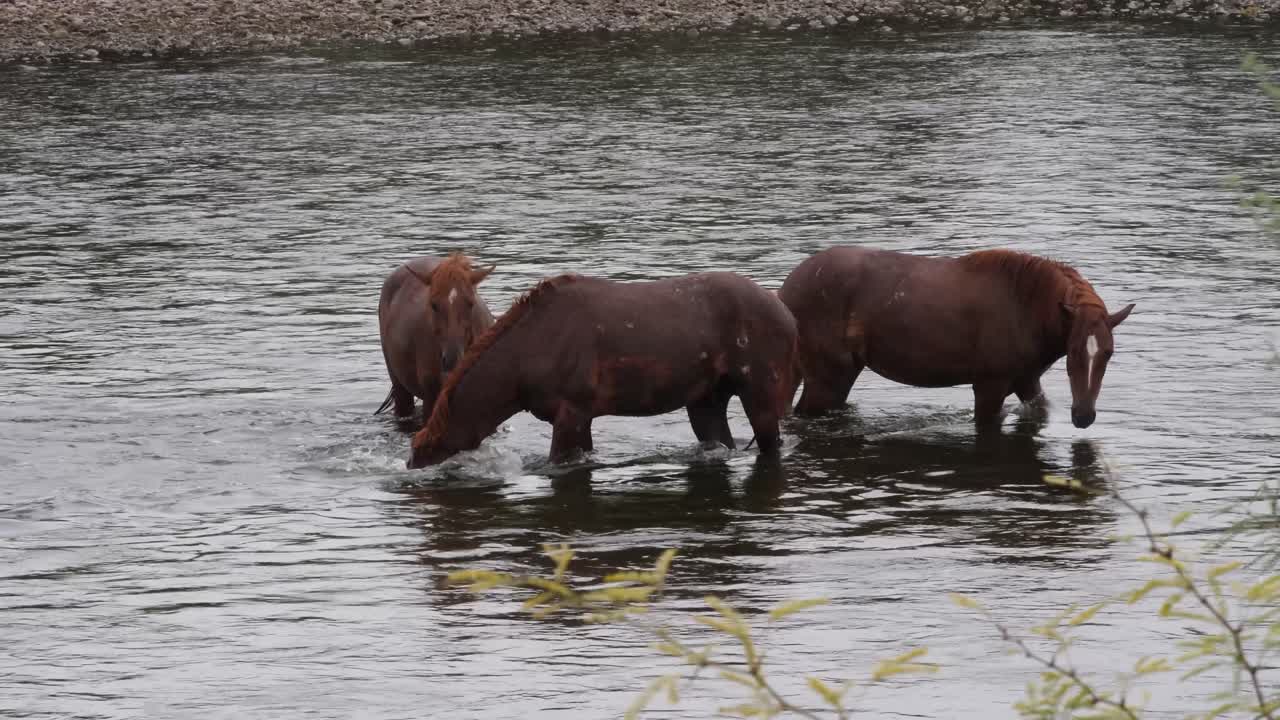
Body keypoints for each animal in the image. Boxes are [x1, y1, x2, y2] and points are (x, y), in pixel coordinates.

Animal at [405, 272, 798, 468]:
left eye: (428, 447)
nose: (410, 467)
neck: (518, 372)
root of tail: (789, 315)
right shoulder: (579, 416)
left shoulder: (572, 410)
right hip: (705, 399)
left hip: (762, 392)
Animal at [778, 247, 1134, 429]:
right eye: (1073, 352)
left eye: (1108, 353)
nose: (1084, 416)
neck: (1026, 307)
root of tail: (786, 292)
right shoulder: (990, 386)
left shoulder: (1026, 381)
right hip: (827, 378)